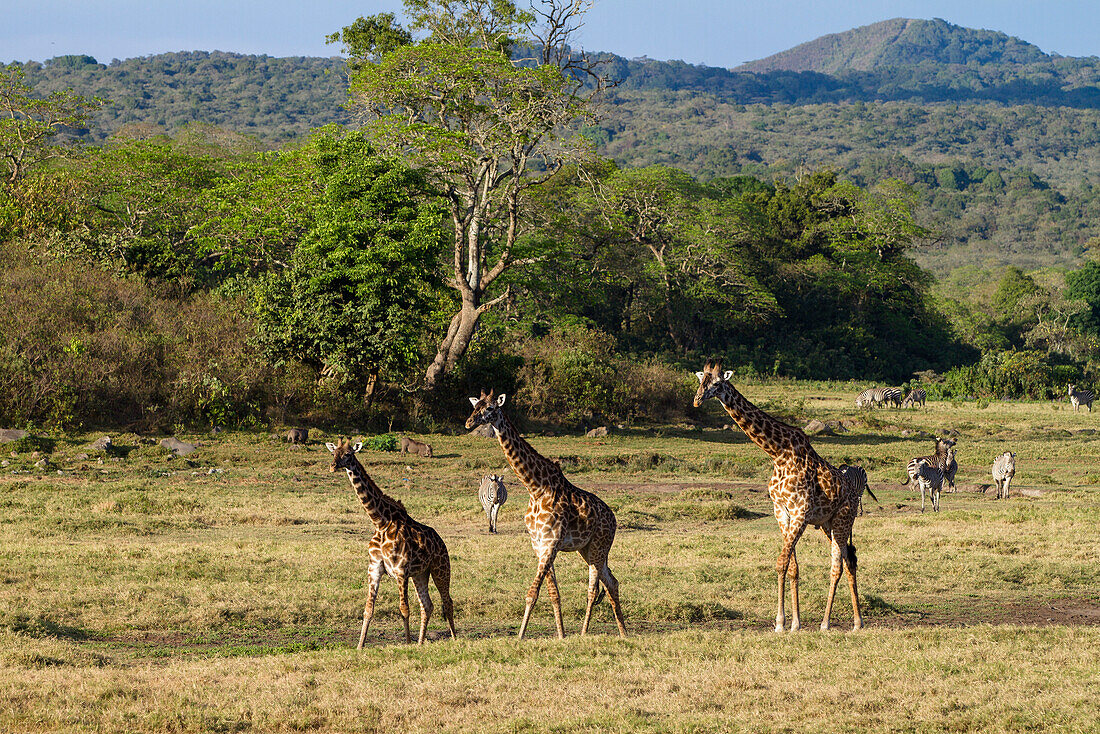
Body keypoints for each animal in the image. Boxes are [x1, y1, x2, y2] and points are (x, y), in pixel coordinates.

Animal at [323, 440, 453, 647]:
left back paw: (454, 638)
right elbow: (368, 609)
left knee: (447, 601)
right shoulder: (374, 569)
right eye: (334, 452)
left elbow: (404, 609)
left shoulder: (400, 571)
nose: (333, 466)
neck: (380, 522)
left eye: (348, 454)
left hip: (440, 568)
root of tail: (441, 541)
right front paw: (359, 647)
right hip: (420, 574)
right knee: (427, 605)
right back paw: (420, 643)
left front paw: (407, 643)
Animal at [464, 389, 629, 638]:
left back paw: (585, 633)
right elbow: (553, 593)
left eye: (490, 408)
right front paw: (560, 636)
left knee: (593, 589)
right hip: (587, 549)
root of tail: (613, 519)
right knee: (612, 582)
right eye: (475, 406)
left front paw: (520, 637)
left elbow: (532, 593)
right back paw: (623, 632)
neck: (535, 488)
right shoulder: (538, 543)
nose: (468, 423)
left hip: (599, 546)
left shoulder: (551, 542)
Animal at [695, 360, 866, 633]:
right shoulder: (782, 512)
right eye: (701, 381)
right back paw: (850, 621)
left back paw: (833, 623)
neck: (777, 452)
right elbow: (792, 566)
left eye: (718, 383)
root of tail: (853, 492)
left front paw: (780, 623)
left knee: (839, 565)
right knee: (848, 560)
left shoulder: (800, 513)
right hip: (827, 525)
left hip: (843, 520)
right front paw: (793, 623)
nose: (697, 400)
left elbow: (781, 562)